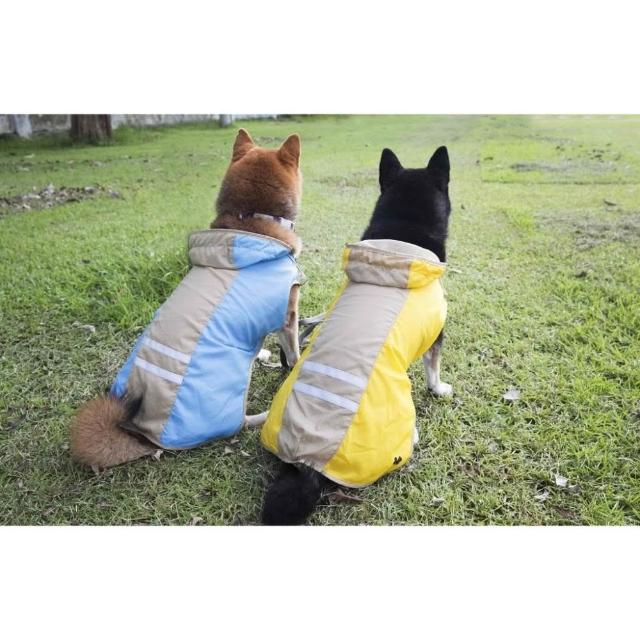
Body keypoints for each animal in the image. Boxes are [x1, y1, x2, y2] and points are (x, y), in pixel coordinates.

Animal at [69, 129, 304, 469]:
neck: (249, 221)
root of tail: (144, 430)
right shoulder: (287, 317)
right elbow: (295, 353)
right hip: (233, 383)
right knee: (238, 424)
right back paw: (262, 415)